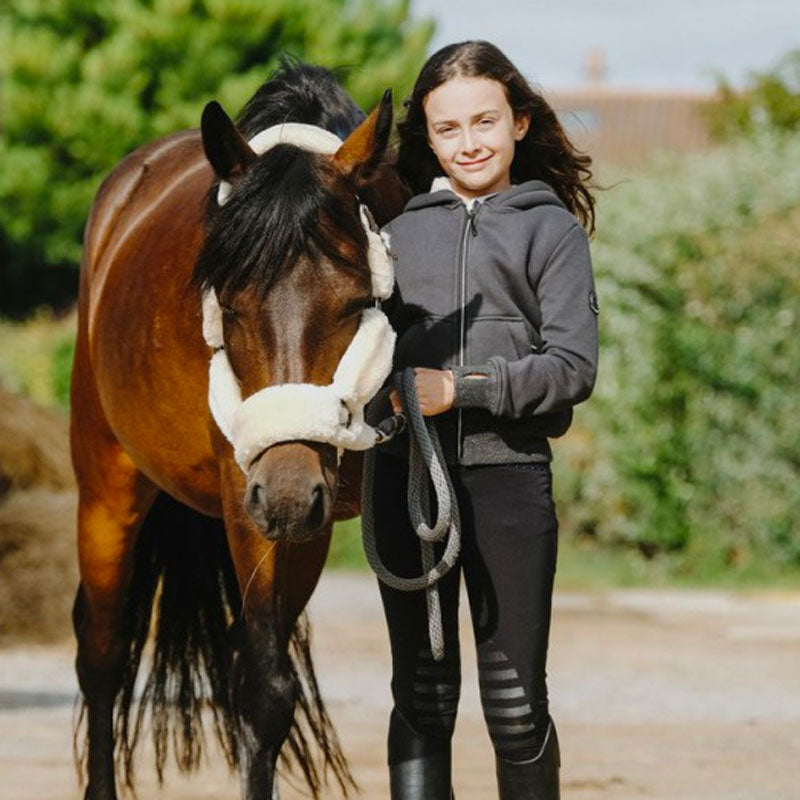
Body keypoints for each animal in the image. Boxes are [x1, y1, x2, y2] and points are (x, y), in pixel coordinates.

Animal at [69, 57, 406, 800]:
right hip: (107, 490)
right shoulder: (248, 506)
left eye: (357, 303)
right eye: (228, 303)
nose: (286, 494)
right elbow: (264, 692)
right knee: (102, 653)